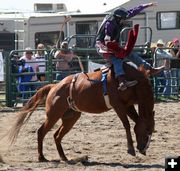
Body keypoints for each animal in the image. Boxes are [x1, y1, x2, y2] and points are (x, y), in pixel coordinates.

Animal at [7, 62, 155, 162]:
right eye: (148, 130)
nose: (143, 149)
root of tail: (54, 86)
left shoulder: (128, 105)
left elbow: (135, 120)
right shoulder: (118, 105)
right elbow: (127, 124)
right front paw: (130, 149)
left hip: (71, 117)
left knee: (57, 135)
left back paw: (64, 157)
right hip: (53, 115)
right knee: (41, 131)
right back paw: (42, 157)